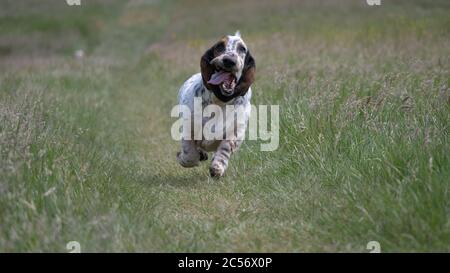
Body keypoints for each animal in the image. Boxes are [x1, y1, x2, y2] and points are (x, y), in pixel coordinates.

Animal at [176, 31, 255, 176]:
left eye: (242, 49)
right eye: (219, 46)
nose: (229, 60)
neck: (220, 102)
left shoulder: (237, 131)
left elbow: (226, 147)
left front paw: (217, 167)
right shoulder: (188, 128)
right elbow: (189, 154)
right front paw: (183, 158)